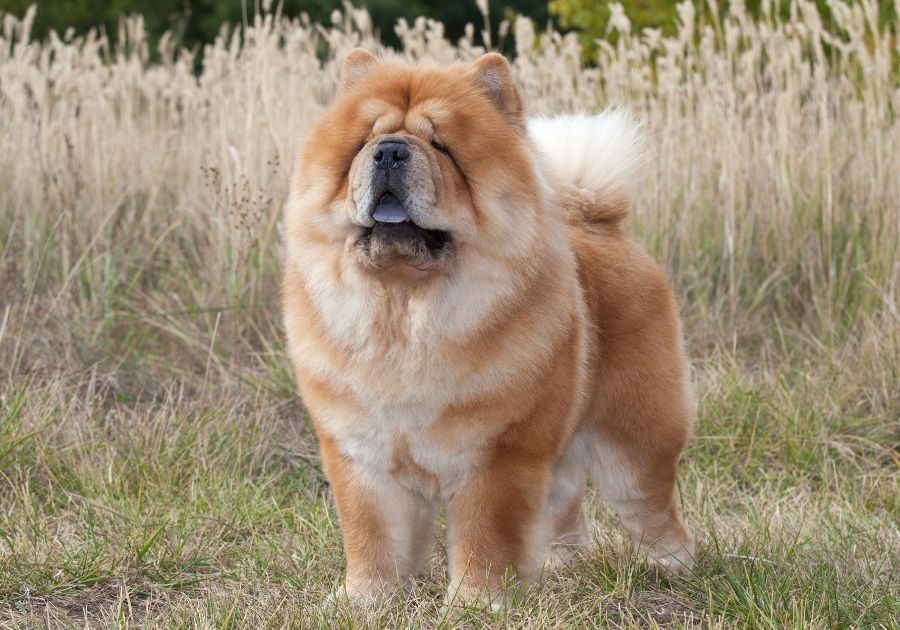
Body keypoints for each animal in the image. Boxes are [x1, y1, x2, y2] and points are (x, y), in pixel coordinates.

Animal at [282, 50, 696, 608]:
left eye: (441, 145)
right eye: (367, 139)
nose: (389, 152)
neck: (403, 311)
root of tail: (597, 222)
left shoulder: (496, 456)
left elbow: (486, 537)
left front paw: (477, 602)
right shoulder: (362, 456)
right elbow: (372, 536)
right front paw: (365, 600)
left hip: (633, 443)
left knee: (653, 509)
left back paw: (674, 568)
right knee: (564, 504)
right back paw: (562, 566)